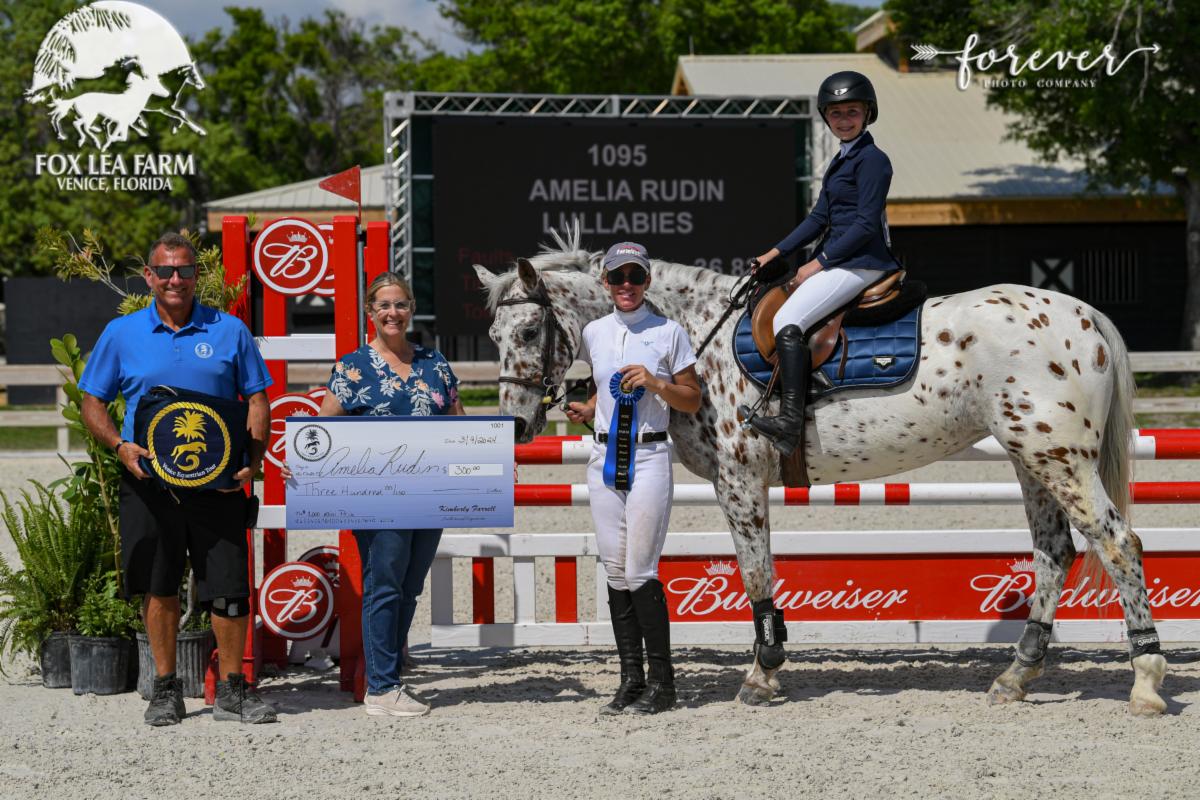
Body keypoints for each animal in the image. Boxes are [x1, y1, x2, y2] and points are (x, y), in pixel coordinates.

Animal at [474, 227, 1169, 716]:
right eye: (493, 334)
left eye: (529, 330)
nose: (518, 423)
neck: (695, 335)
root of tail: (1086, 315)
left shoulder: (739, 480)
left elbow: (756, 571)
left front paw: (762, 673)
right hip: (1031, 457)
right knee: (1055, 550)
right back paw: (1016, 676)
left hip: (1058, 458)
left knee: (1116, 541)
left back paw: (1146, 681)